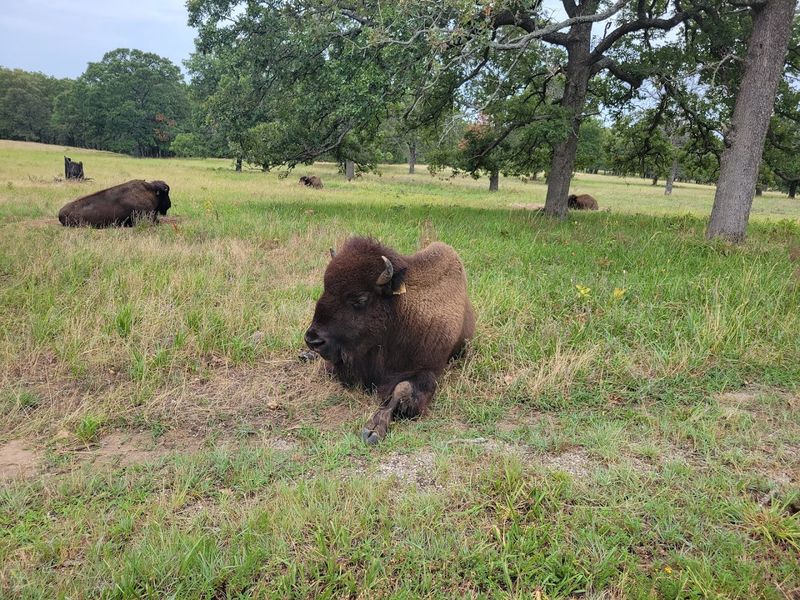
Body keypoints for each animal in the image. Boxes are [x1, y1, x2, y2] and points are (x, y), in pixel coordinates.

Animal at [304, 237, 475, 444]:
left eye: (359, 299)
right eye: (325, 289)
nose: (312, 340)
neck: (399, 312)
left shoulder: (427, 370)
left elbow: (401, 389)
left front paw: (373, 430)